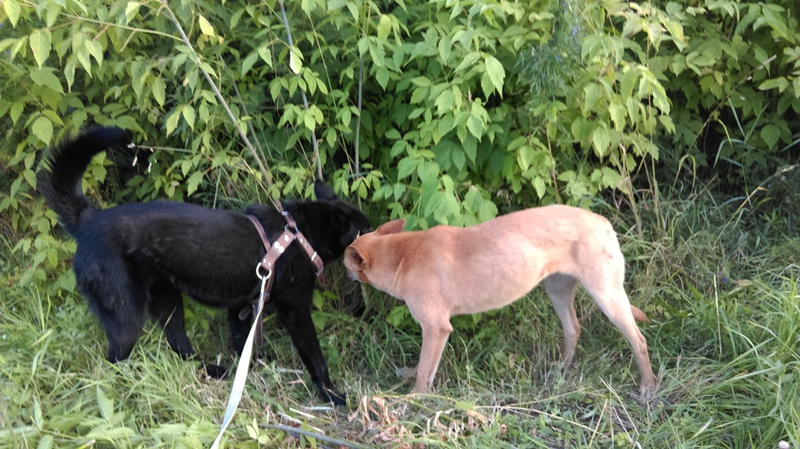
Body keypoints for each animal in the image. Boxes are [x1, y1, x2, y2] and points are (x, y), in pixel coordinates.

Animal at [37, 126, 370, 405]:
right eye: (362, 231)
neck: (299, 234)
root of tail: (88, 220)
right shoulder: (295, 310)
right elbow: (316, 358)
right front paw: (331, 395)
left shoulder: (241, 307)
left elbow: (243, 344)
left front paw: (248, 374)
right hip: (127, 315)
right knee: (116, 360)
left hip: (168, 299)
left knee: (179, 345)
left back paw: (211, 370)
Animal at [343, 207, 656, 396]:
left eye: (347, 263)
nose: (344, 273)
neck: (403, 256)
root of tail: (603, 222)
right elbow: (422, 367)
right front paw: (410, 377)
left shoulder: (435, 328)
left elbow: (424, 369)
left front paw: (414, 398)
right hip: (557, 292)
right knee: (573, 328)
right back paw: (562, 368)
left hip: (607, 296)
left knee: (639, 339)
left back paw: (647, 386)